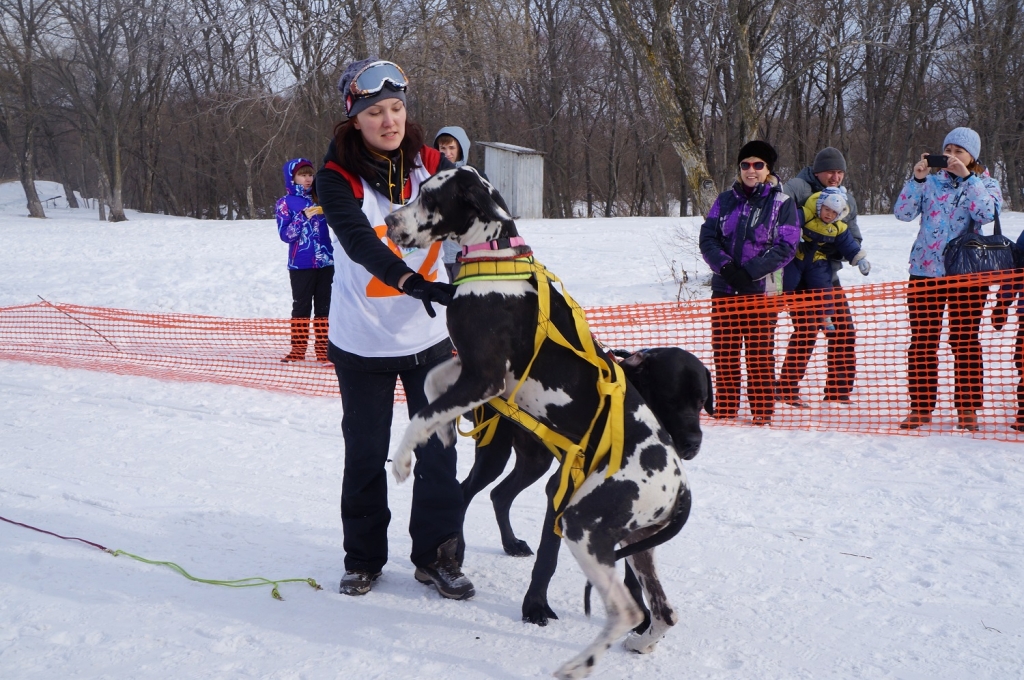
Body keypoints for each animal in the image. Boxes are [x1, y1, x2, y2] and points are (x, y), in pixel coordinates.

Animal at [387, 165, 692, 680]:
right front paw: (444, 430)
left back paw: (579, 664)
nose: (389, 220)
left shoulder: (486, 376)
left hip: (582, 524)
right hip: (634, 543)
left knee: (625, 608)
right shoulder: (482, 374)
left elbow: (420, 411)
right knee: (664, 612)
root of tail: (679, 485)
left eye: (429, 196)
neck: (495, 259)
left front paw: (406, 459)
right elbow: (431, 383)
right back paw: (640, 643)